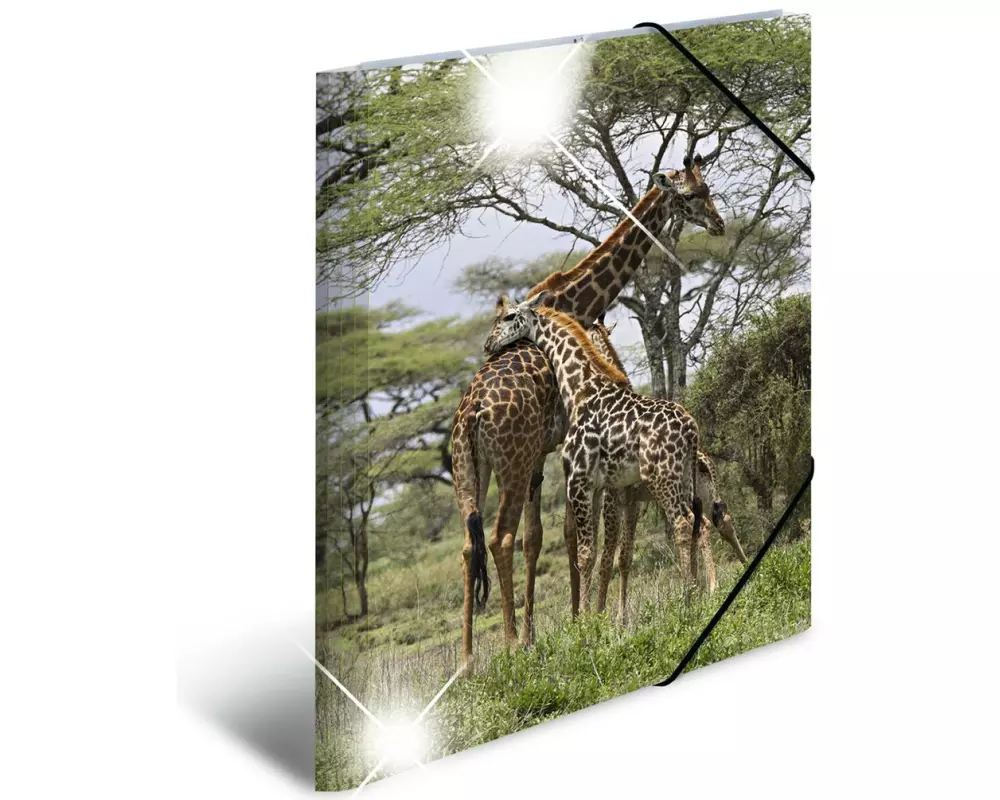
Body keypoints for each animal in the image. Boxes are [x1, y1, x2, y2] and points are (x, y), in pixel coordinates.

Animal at [485, 296, 710, 618]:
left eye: (508, 316)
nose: (488, 344)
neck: (580, 389)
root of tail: (692, 429)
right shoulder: (600, 486)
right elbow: (597, 552)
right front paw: (595, 615)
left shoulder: (579, 482)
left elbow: (587, 552)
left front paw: (587, 619)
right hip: (684, 477)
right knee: (698, 523)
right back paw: (701, 591)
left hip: (662, 476)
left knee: (682, 522)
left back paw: (688, 598)